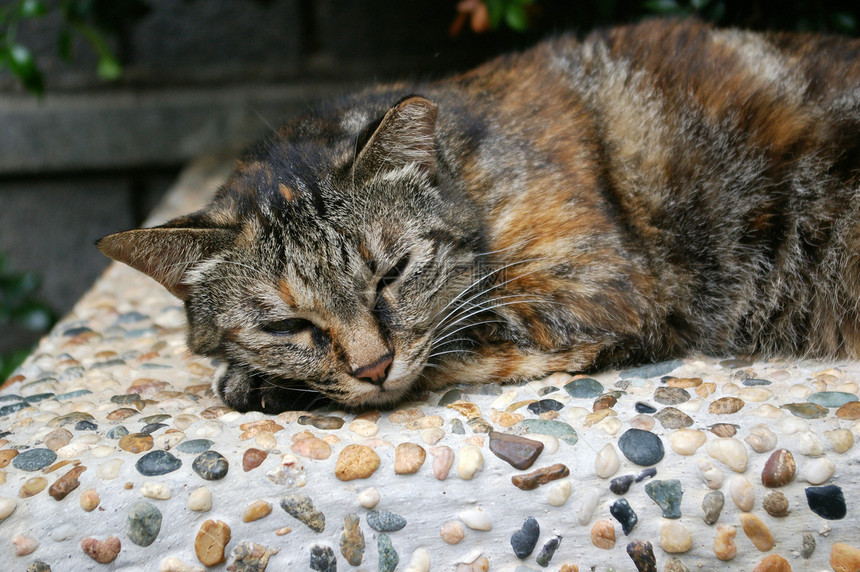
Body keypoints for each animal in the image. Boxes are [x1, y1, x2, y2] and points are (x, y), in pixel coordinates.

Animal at [95, 16, 860, 412]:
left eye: (394, 272)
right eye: (286, 324)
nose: (373, 368)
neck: (469, 172)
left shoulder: (592, 287)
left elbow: (457, 335)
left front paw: (255, 381)